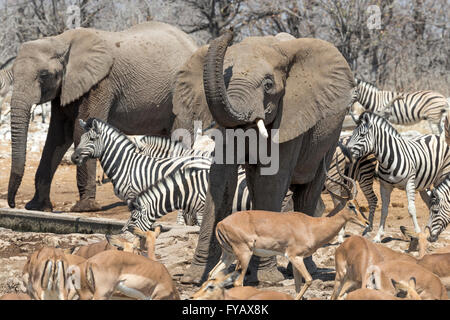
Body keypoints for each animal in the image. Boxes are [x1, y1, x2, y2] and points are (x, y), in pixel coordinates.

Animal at [6, 21, 197, 212]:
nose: (13, 204)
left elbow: (79, 131)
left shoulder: (99, 85)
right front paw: (37, 207)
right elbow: (58, 135)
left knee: (181, 134)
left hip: (185, 89)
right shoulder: (65, 88)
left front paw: (84, 208)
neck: (60, 41)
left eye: (44, 75)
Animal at [172, 30, 356, 284]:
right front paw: (194, 277)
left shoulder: (291, 114)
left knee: (309, 190)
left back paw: (302, 268)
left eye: (268, 85)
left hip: (330, 137)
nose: (229, 32)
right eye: (225, 79)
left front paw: (268, 278)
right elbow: (220, 179)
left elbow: (271, 181)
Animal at [348, 112, 450, 242]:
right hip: (423, 185)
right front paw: (378, 235)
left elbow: (411, 209)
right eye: (352, 134)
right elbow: (384, 210)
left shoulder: (409, 182)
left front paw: (417, 233)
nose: (346, 151)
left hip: (441, 175)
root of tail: (436, 136)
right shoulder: (385, 186)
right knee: (429, 202)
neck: (388, 159)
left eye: (362, 135)